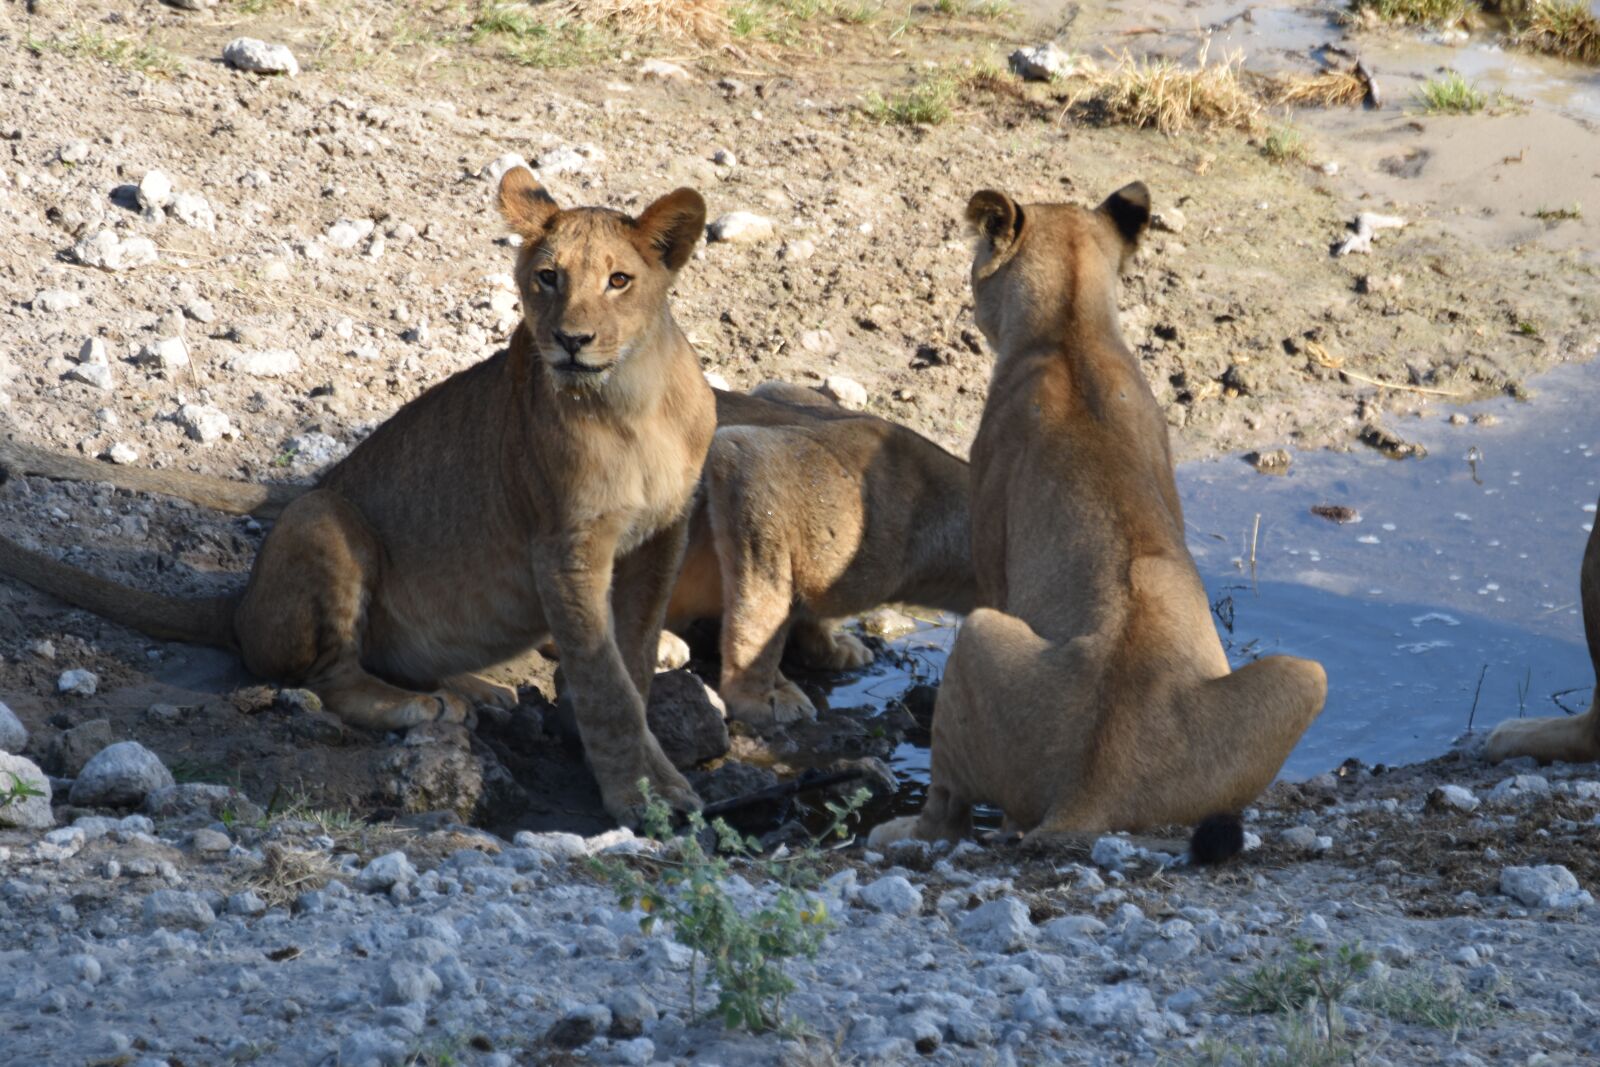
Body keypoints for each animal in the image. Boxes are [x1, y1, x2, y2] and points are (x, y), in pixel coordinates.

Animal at [0, 169, 714, 823]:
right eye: (547, 278)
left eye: (618, 280)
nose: (570, 341)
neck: (630, 402)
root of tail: (240, 603)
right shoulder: (565, 546)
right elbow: (605, 682)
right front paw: (643, 798)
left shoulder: (663, 536)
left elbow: (635, 662)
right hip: (322, 514)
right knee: (330, 679)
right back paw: (426, 705)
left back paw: (480, 691)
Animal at [868, 182, 1328, 860]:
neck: (1071, 328)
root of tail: (1093, 789)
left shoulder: (992, 549)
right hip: (1306, 675)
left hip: (978, 632)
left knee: (948, 810)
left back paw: (898, 831)